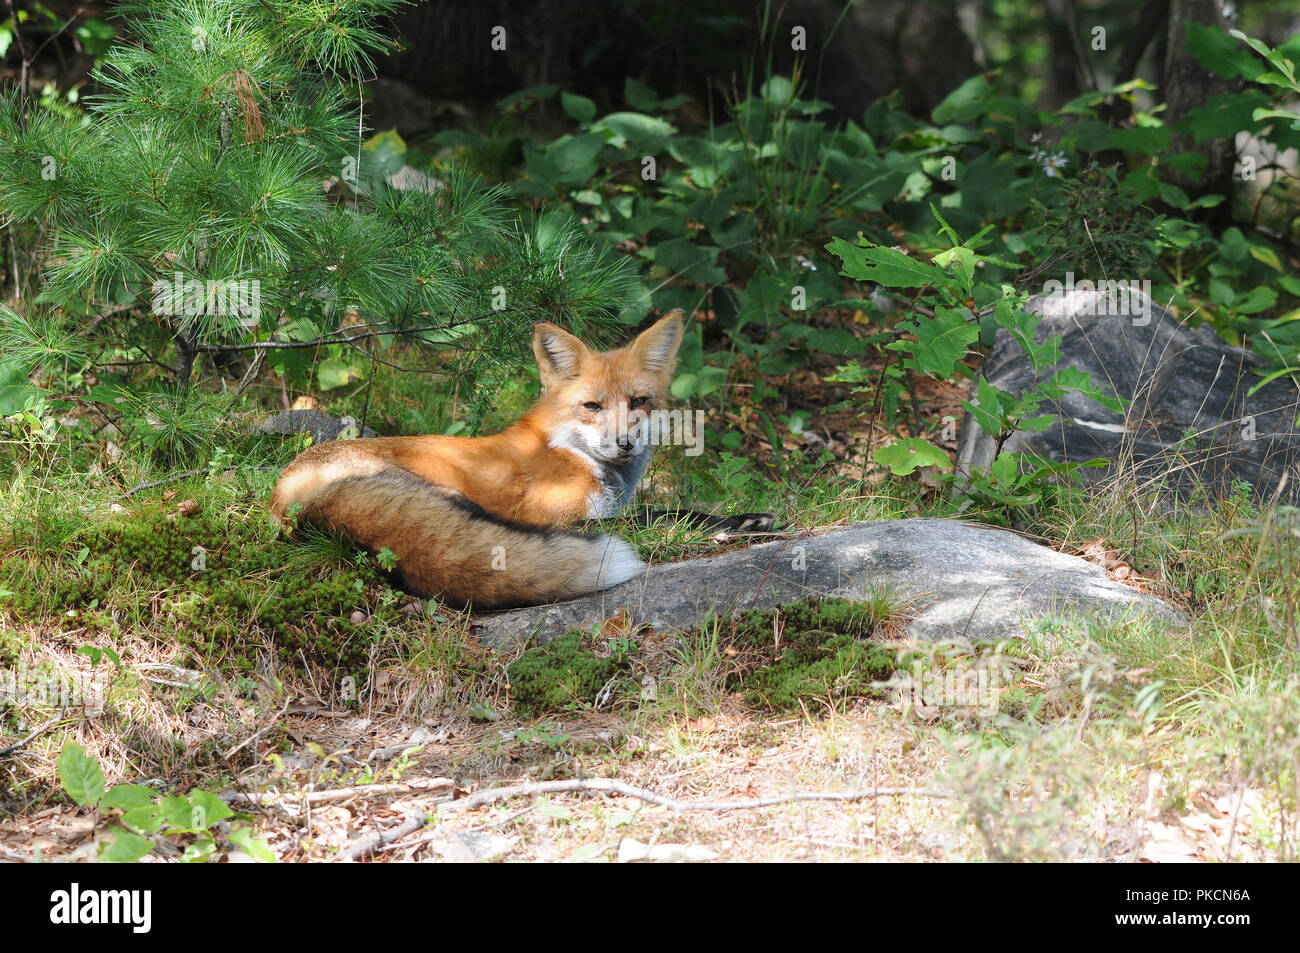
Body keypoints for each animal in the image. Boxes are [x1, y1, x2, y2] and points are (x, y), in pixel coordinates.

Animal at [270, 310, 774, 609]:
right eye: (592, 406)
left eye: (639, 402)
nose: (624, 443)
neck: (571, 452)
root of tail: (287, 491)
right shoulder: (557, 512)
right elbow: (659, 516)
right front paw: (733, 522)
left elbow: (666, 510)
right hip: (452, 498)